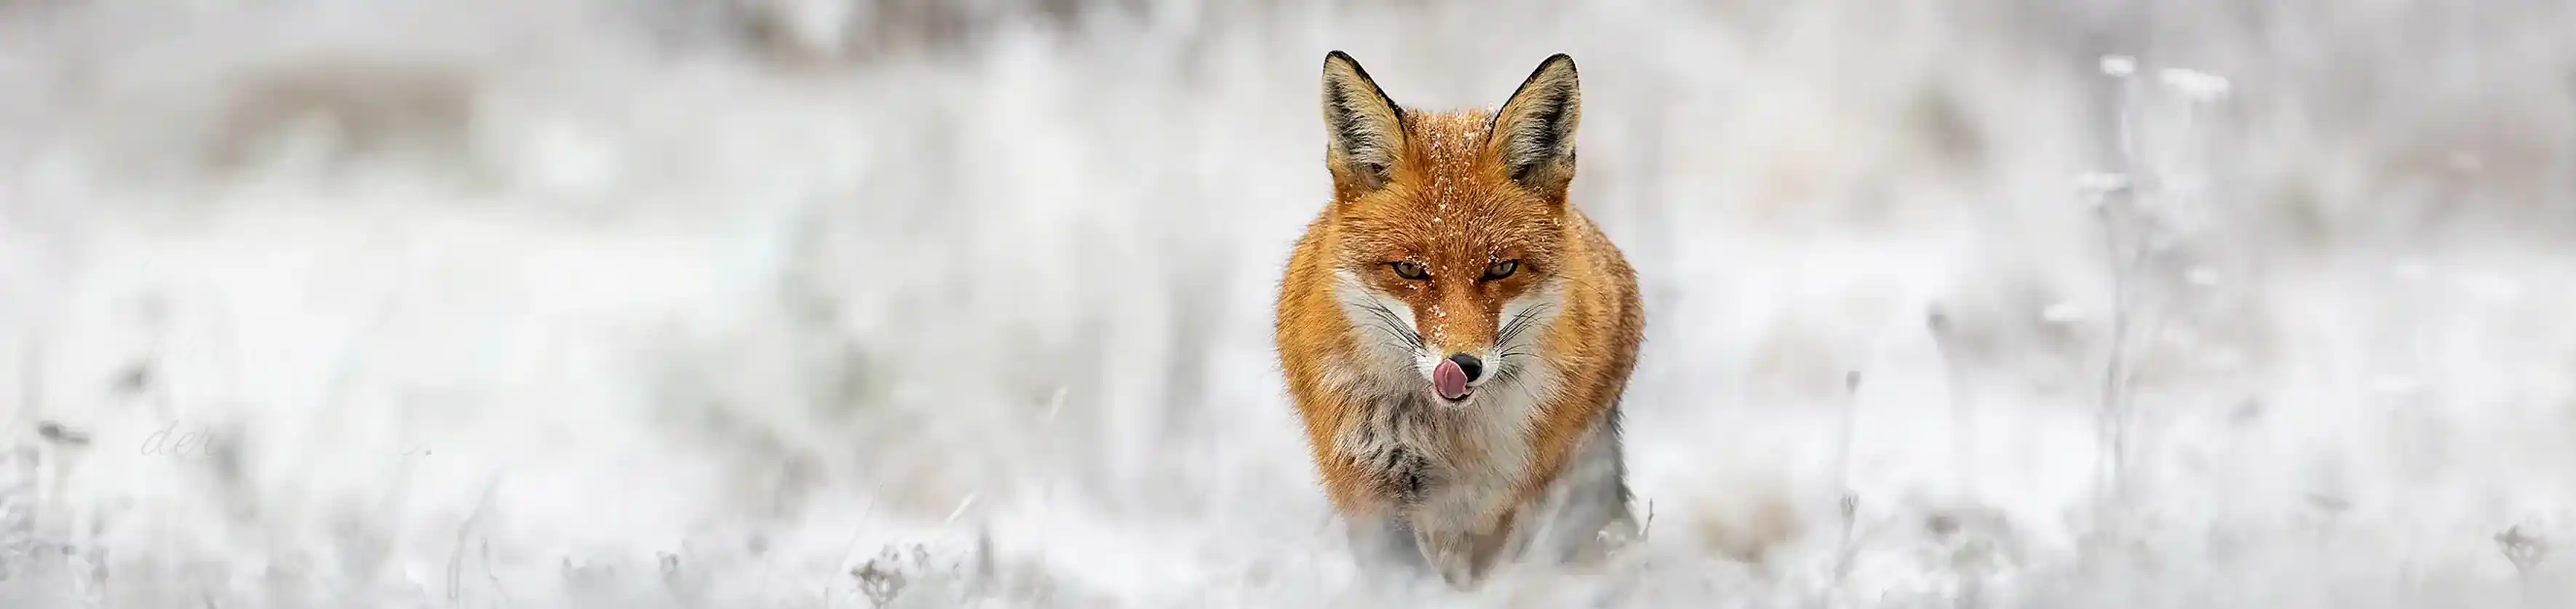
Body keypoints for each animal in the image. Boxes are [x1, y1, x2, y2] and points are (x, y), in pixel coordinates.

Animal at [1272, 51, 1646, 589]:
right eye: (1410, 269)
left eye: (1502, 268)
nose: (1464, 365)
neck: (1443, 435)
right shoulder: (1370, 484)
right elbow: (1397, 575)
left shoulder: (1498, 500)